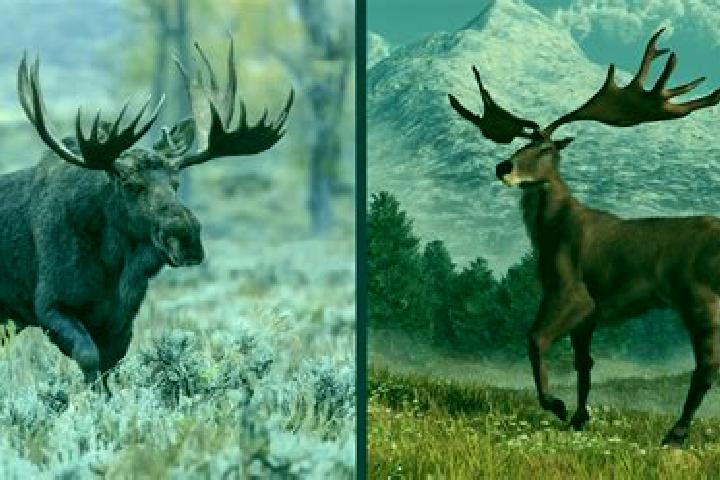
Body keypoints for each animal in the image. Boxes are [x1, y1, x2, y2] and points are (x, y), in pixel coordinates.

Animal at [0, 39, 293, 393]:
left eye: (176, 183)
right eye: (129, 184)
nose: (187, 238)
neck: (113, 266)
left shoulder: (121, 321)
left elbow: (109, 369)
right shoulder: (50, 305)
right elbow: (89, 359)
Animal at [448, 29, 720, 446]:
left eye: (546, 149)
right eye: (519, 145)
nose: (503, 167)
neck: (552, 231)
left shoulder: (572, 291)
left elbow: (535, 339)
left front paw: (557, 406)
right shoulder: (589, 313)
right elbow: (584, 365)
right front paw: (579, 418)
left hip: (700, 296)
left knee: (706, 366)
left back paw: (675, 434)